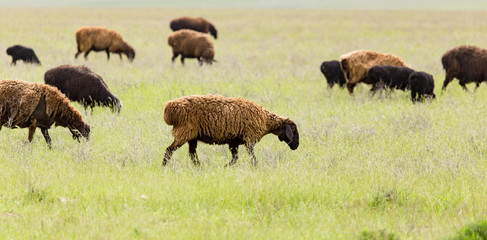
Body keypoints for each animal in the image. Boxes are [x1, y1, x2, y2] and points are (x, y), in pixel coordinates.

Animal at [162, 94, 300, 166]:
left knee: (192, 154)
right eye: (293, 129)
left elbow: (235, 158)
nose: (296, 146)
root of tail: (169, 108)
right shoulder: (249, 139)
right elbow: (252, 157)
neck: (266, 121)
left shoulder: (234, 141)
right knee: (169, 150)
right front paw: (255, 167)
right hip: (184, 132)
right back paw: (164, 167)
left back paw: (199, 168)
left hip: (192, 136)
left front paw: (226, 167)